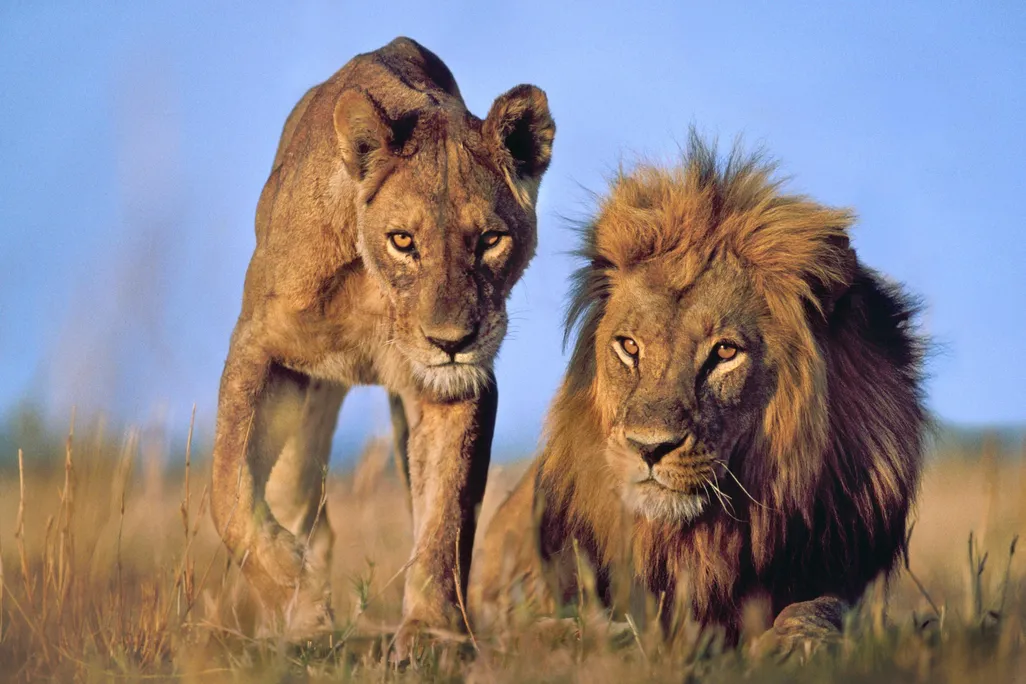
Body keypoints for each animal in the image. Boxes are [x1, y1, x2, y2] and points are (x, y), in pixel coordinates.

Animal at [209, 37, 555, 648]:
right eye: (403, 240)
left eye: (491, 240)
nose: (452, 341)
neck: (377, 294)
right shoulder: (258, 347)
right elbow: (227, 491)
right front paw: (298, 598)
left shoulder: (455, 385)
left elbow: (445, 512)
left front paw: (431, 632)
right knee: (294, 499)